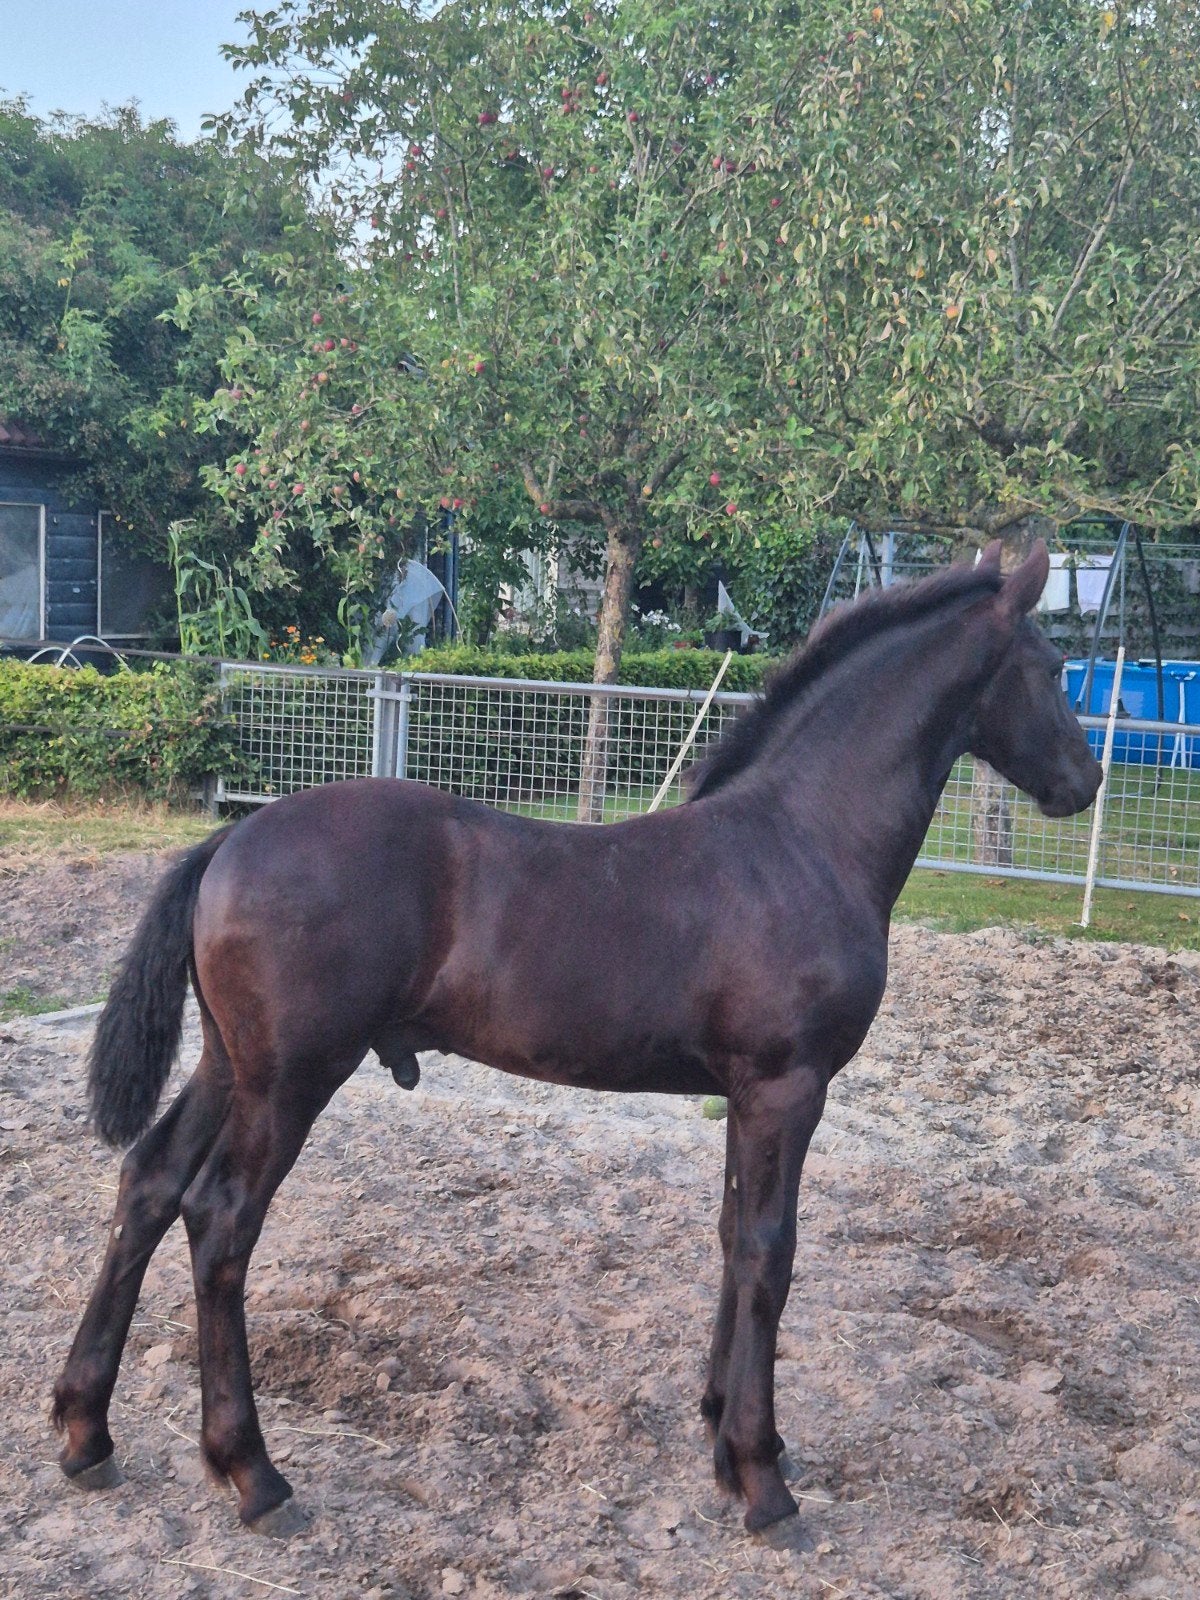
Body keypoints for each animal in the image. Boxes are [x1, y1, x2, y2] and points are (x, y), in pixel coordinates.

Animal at [52, 539, 1101, 1548]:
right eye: (1054, 667)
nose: (1086, 782)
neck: (800, 843)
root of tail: (229, 842)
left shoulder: (742, 1094)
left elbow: (731, 1238)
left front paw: (721, 1431)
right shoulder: (787, 1086)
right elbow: (770, 1253)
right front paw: (763, 1479)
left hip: (231, 1063)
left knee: (148, 1185)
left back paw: (85, 1431)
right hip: (292, 1080)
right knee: (221, 1220)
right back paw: (253, 1475)